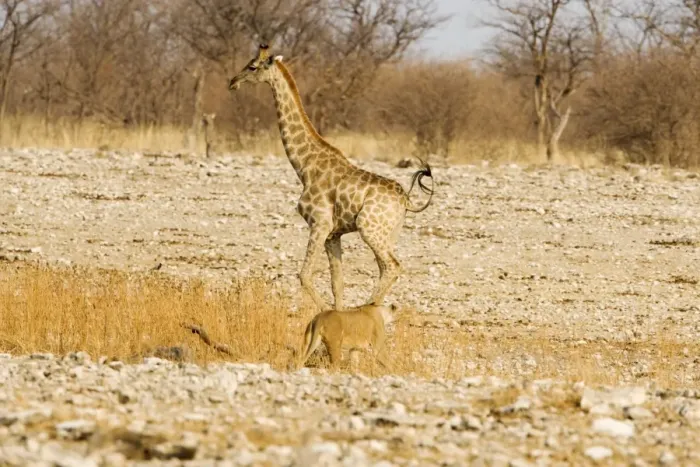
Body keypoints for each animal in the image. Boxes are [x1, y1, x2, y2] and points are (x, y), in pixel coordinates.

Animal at [229, 44, 434, 311]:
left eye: (252, 66)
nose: (232, 82)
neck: (305, 166)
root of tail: (406, 201)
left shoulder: (320, 223)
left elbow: (305, 275)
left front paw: (326, 313)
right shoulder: (333, 234)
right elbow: (338, 283)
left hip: (369, 228)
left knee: (393, 267)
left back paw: (368, 308)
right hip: (389, 232)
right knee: (385, 268)